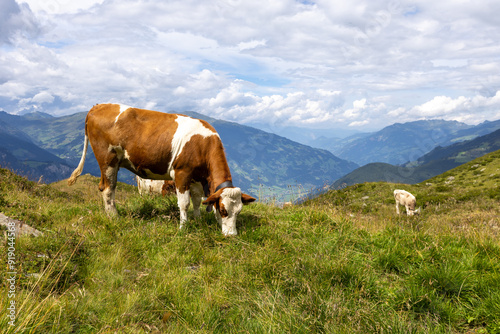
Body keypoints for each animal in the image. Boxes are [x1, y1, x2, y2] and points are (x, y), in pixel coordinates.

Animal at [67, 103, 254, 235]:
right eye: (223, 210)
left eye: (239, 211)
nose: (231, 235)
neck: (203, 144)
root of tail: (99, 106)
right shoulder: (181, 173)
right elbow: (184, 203)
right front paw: (183, 228)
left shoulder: (195, 178)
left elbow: (196, 201)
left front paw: (198, 220)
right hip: (108, 160)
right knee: (108, 189)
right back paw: (114, 218)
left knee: (103, 187)